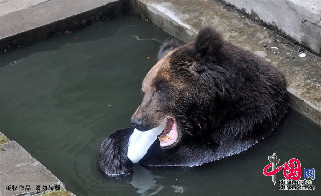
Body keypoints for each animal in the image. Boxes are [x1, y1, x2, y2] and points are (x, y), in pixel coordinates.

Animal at [97, 25, 288, 176]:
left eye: (160, 88)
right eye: (144, 90)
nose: (137, 121)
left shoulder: (245, 124)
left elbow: (192, 154)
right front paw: (113, 153)